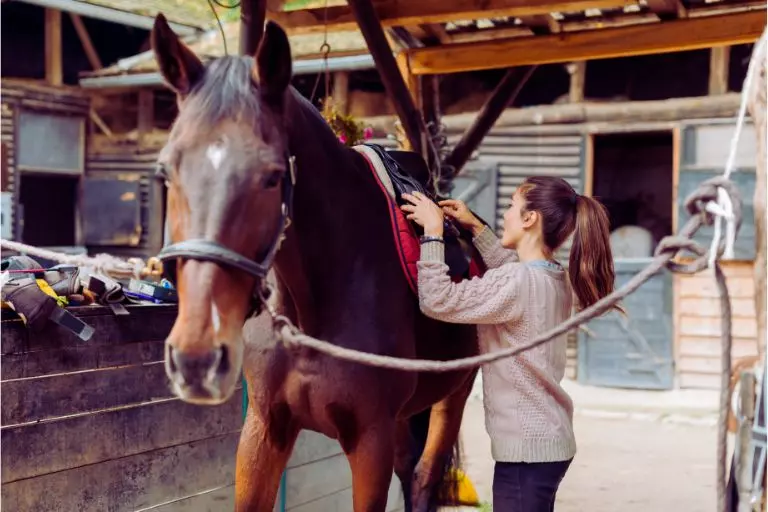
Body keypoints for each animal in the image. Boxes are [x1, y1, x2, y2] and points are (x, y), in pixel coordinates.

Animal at [152, 14, 480, 510]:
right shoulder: (263, 431)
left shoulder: (369, 443)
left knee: (424, 478)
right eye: (166, 172)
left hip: (454, 393)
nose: (196, 359)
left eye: (272, 176)